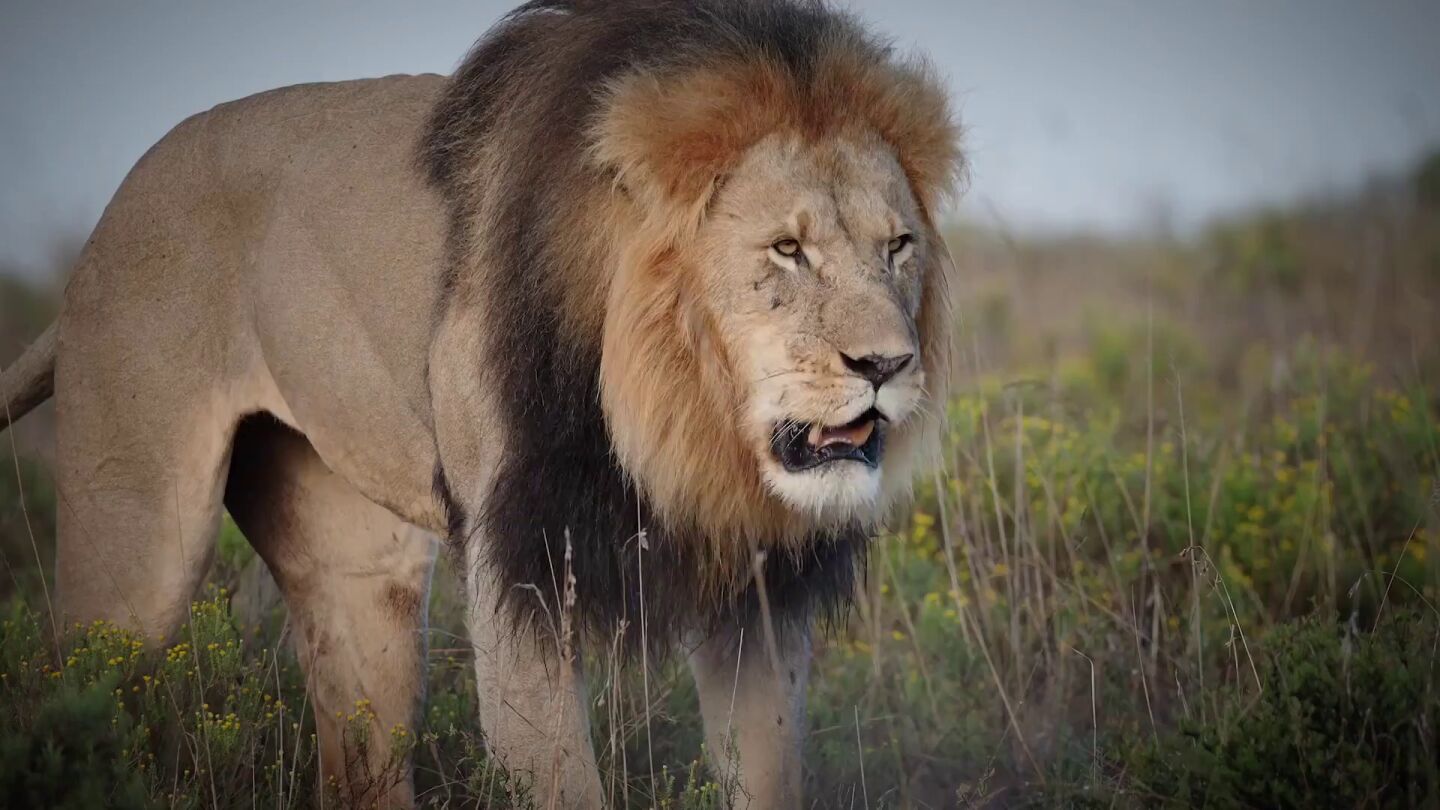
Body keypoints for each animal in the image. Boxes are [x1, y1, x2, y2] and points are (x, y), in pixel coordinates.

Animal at [0, 0, 962, 806]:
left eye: (898, 246)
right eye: (787, 249)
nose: (888, 364)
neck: (677, 423)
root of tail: (106, 222)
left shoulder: (757, 598)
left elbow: (767, 774)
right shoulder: (519, 569)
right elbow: (562, 780)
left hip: (363, 579)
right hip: (139, 553)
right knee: (76, 684)